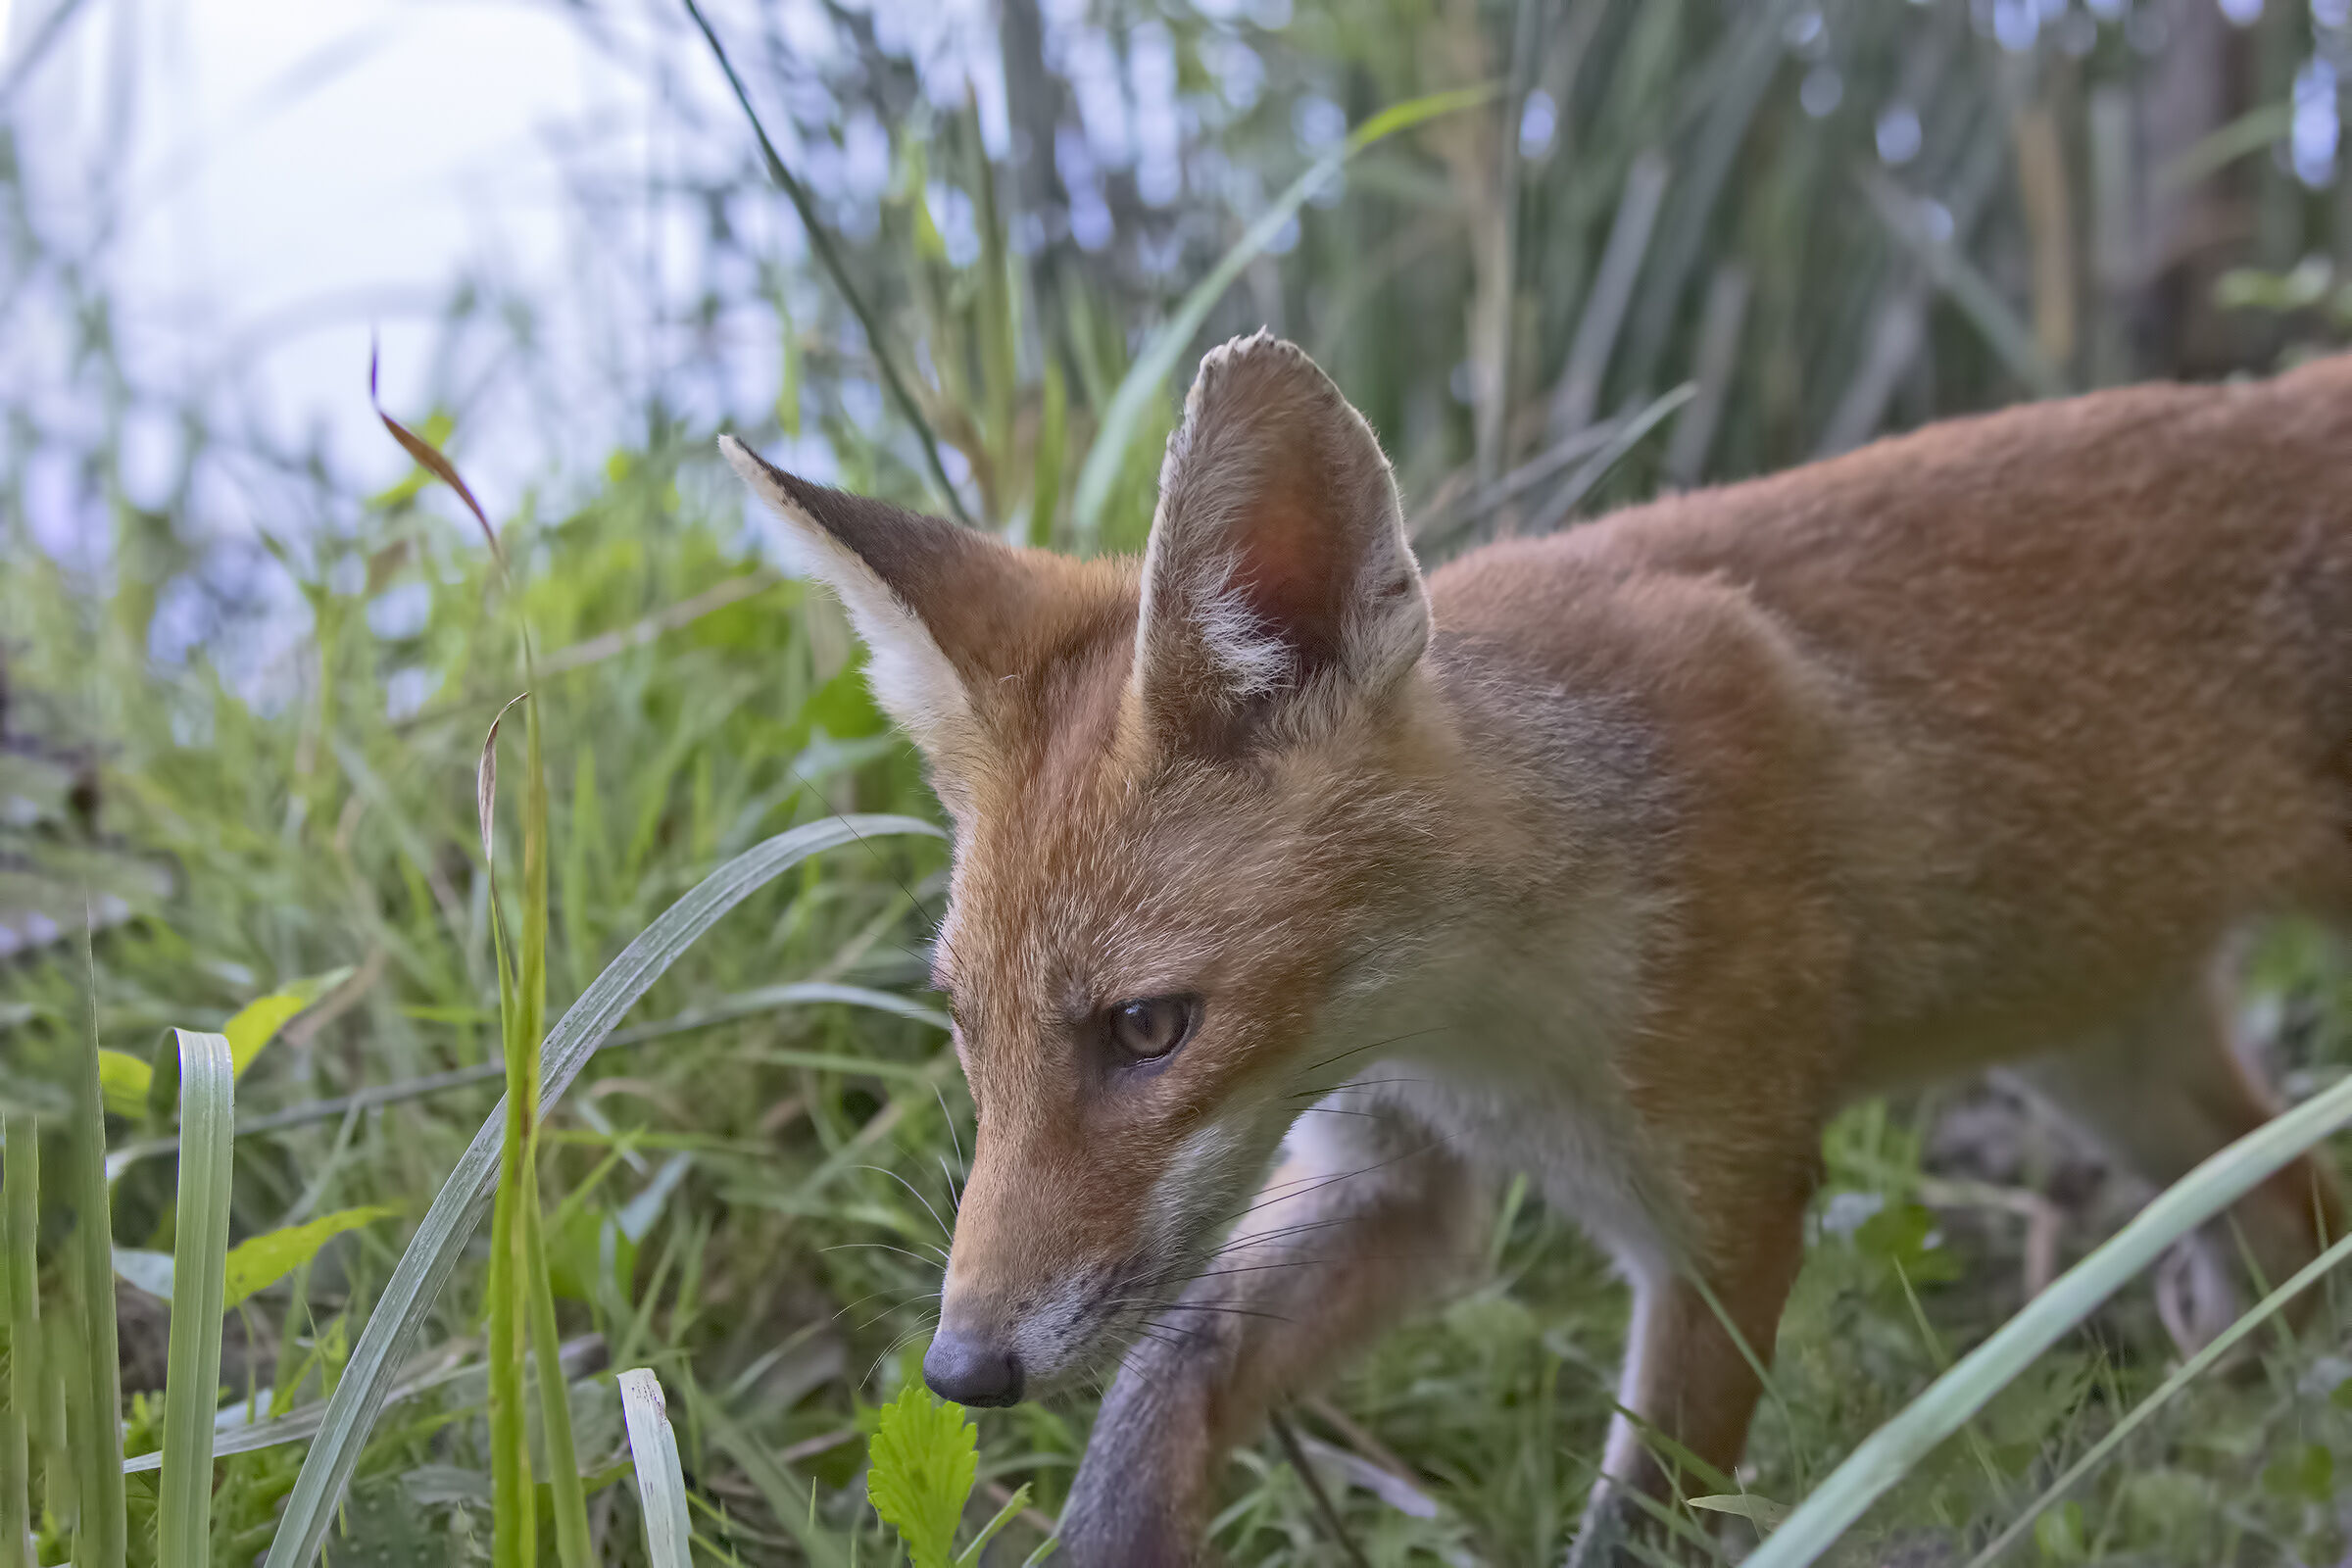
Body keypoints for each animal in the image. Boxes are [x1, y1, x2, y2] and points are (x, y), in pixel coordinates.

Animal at [723, 333, 2350, 1565]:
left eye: (1148, 1028)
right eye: (962, 1024)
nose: (964, 1370)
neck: (1473, 1015)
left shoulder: (1724, 1215)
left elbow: (1642, 1525)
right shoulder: (1394, 1177)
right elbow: (1159, 1388)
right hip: (2110, 1064)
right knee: (2294, 1214)